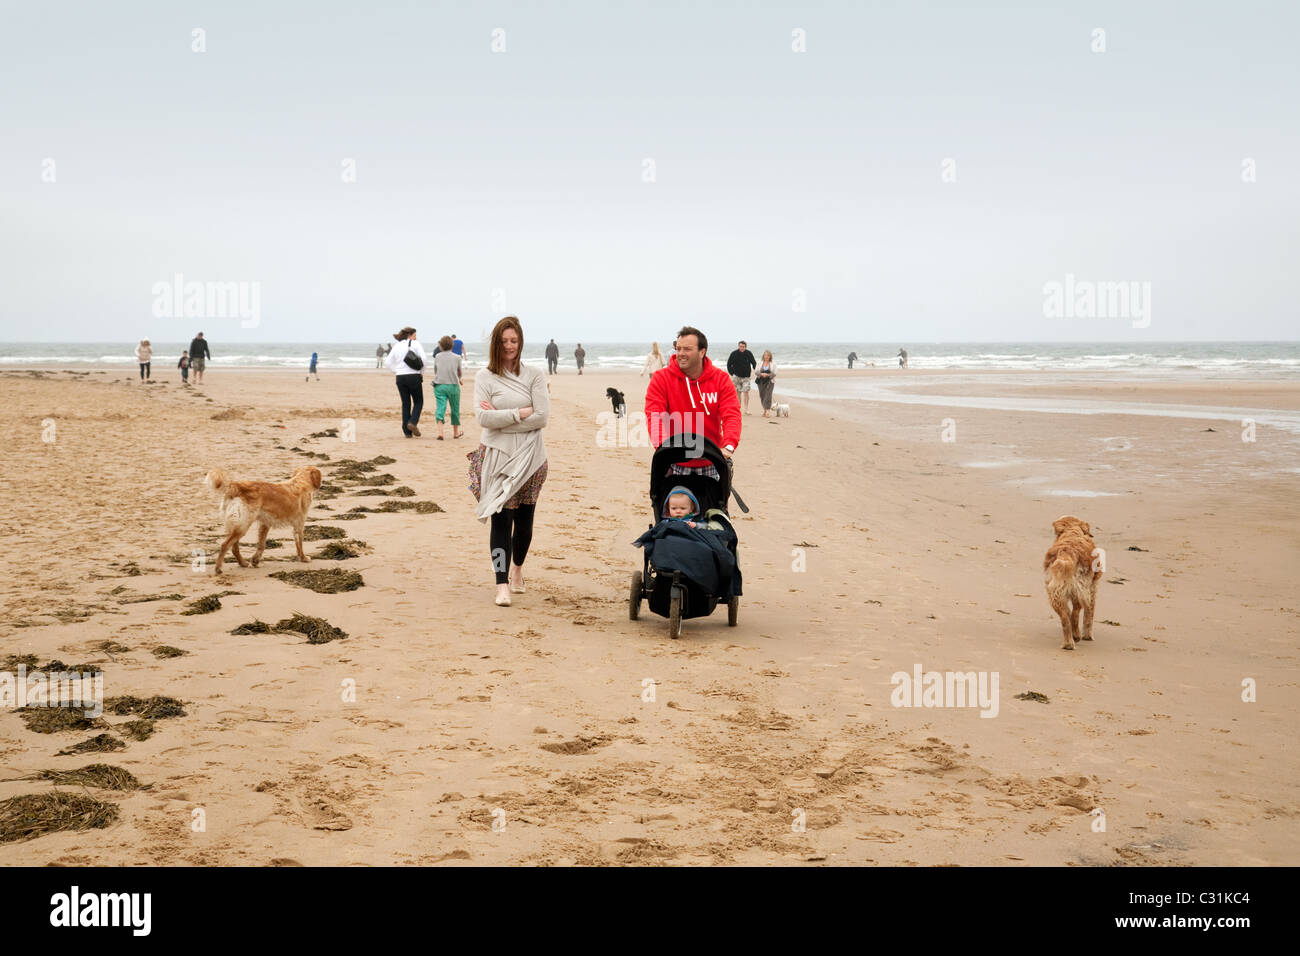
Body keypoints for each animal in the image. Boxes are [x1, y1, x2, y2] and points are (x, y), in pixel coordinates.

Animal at [1040, 515, 1102, 650]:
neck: (1072, 532)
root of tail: (1066, 552)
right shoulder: (1093, 587)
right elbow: (1089, 614)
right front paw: (1088, 635)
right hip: (1080, 589)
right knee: (1075, 613)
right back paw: (1076, 636)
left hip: (1054, 593)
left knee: (1065, 618)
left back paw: (1069, 643)